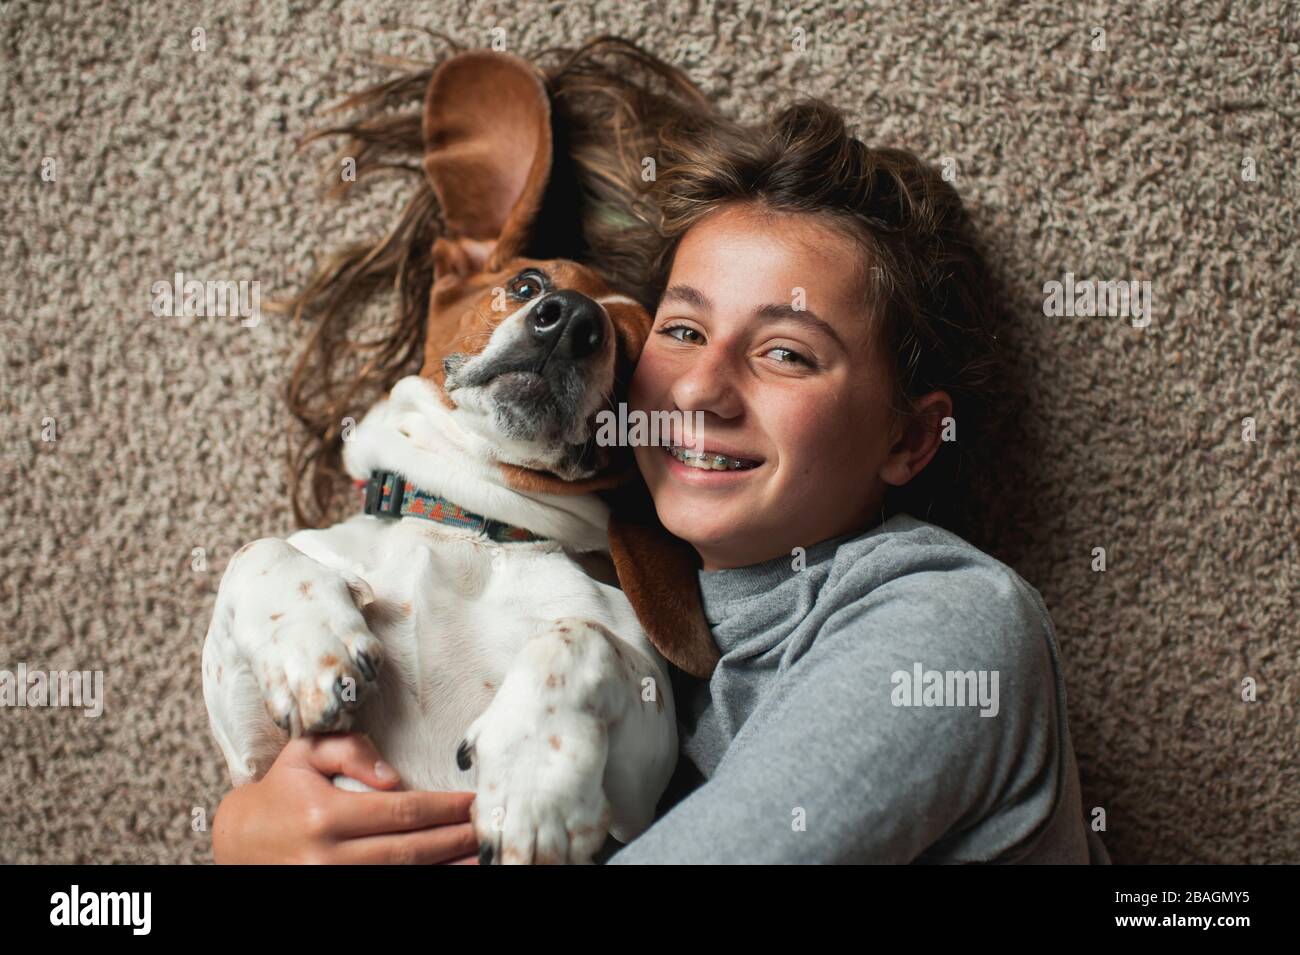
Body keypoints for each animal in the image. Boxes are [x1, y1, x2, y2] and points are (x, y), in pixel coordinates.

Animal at [208, 48, 728, 862]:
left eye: (639, 358)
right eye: (527, 282)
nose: (570, 321)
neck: (465, 522)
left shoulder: (641, 782)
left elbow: (581, 640)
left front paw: (533, 777)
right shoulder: (257, 762)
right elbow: (255, 550)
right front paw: (312, 644)